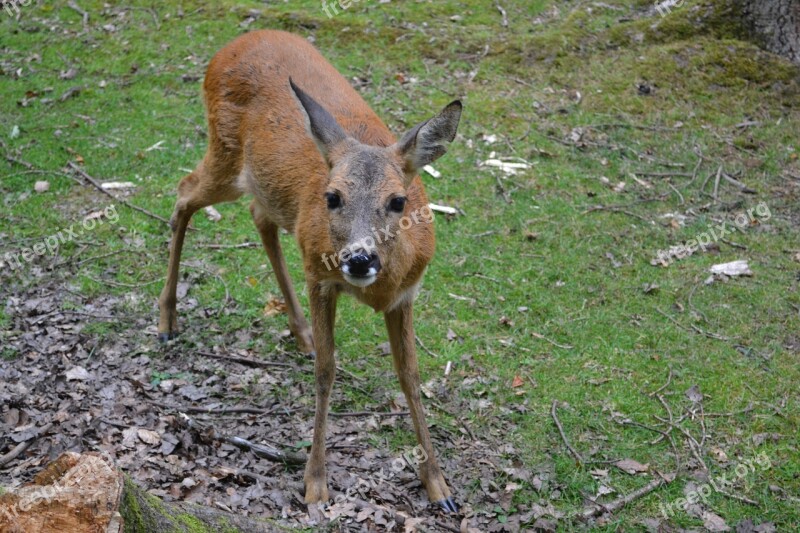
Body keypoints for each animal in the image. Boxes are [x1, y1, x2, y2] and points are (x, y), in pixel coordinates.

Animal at [157, 30, 462, 512]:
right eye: (333, 196)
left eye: (398, 201)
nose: (359, 259)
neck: (378, 289)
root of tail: (233, 43)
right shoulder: (322, 281)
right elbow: (326, 370)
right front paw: (315, 484)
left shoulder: (406, 294)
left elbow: (410, 376)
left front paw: (439, 486)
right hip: (224, 153)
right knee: (184, 192)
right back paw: (167, 320)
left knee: (256, 215)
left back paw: (298, 331)